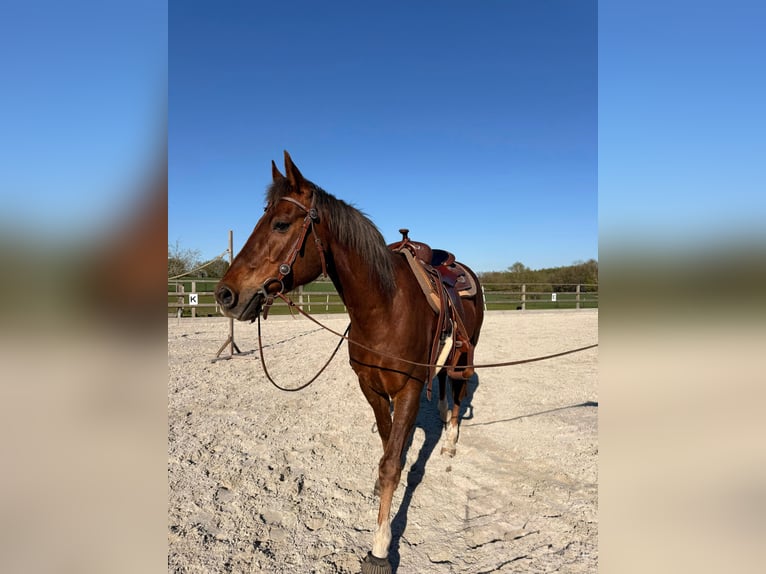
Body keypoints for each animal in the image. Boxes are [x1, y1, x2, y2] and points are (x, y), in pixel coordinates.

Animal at [215, 152, 484, 573]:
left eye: (280, 223)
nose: (225, 294)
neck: (385, 307)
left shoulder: (407, 389)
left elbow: (391, 465)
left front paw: (379, 548)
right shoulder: (371, 387)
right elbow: (388, 444)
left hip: (466, 353)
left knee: (458, 386)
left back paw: (452, 440)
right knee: (442, 384)